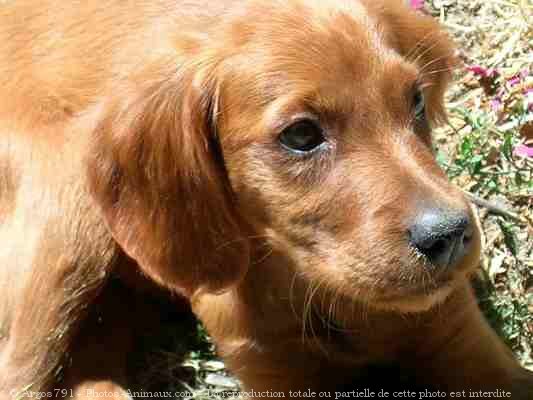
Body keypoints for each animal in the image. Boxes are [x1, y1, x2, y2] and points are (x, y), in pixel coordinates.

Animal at [0, 0, 528, 398]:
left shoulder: (462, 337)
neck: (323, 294)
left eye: (415, 100)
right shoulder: (270, 366)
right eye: (301, 135)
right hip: (72, 222)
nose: (451, 234)